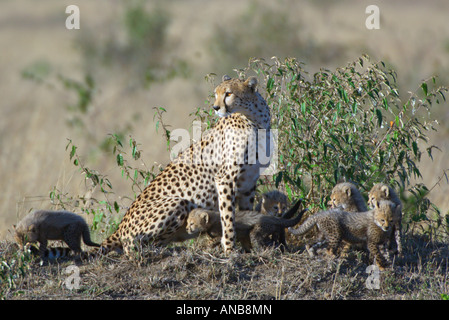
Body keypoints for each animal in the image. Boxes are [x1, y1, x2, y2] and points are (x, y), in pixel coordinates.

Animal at [97, 74, 270, 255]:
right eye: (216, 93)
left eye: (228, 94)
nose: (215, 107)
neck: (254, 119)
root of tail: (119, 227)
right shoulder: (225, 178)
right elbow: (228, 217)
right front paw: (230, 250)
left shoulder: (249, 182)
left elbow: (245, 217)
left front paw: (247, 250)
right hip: (177, 203)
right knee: (134, 248)